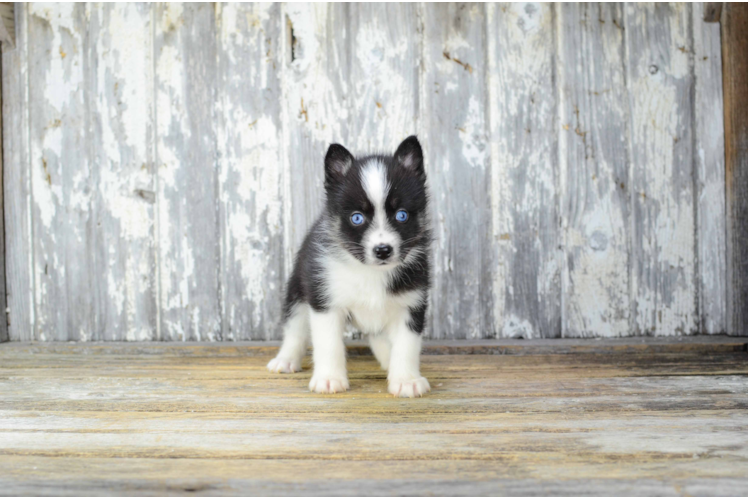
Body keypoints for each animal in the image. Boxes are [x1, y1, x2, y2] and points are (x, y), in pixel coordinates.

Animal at [268, 136, 432, 398]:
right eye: (357, 218)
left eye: (402, 215)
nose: (383, 250)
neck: (370, 272)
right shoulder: (325, 300)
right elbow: (328, 343)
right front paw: (329, 379)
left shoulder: (412, 302)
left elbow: (407, 344)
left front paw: (406, 379)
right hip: (298, 288)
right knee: (295, 327)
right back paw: (286, 360)